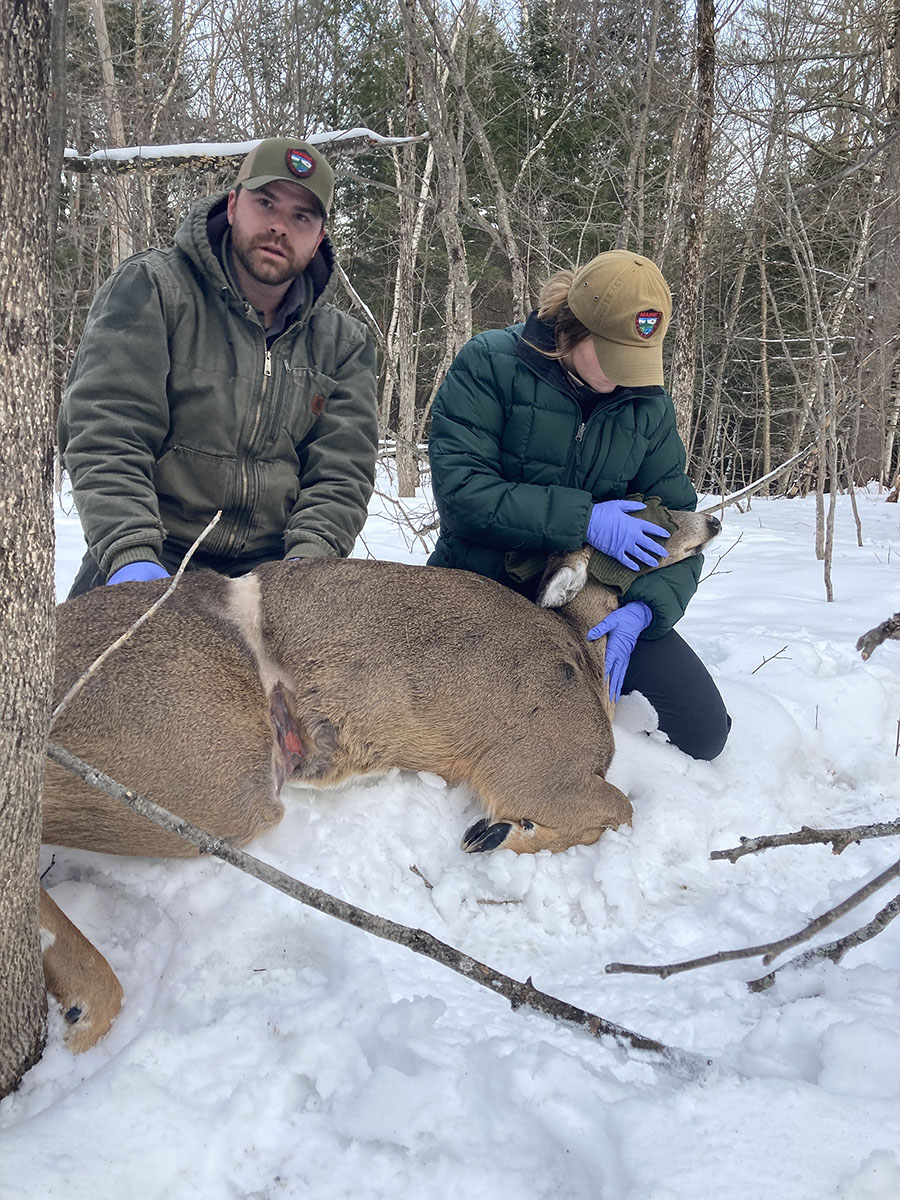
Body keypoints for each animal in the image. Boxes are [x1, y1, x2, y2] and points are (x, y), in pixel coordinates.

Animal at [40, 504, 724, 1051]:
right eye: (657, 516)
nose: (713, 521)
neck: (584, 650)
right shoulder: (537, 767)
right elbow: (620, 807)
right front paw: (497, 834)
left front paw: (497, 833)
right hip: (208, 772)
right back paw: (87, 1004)